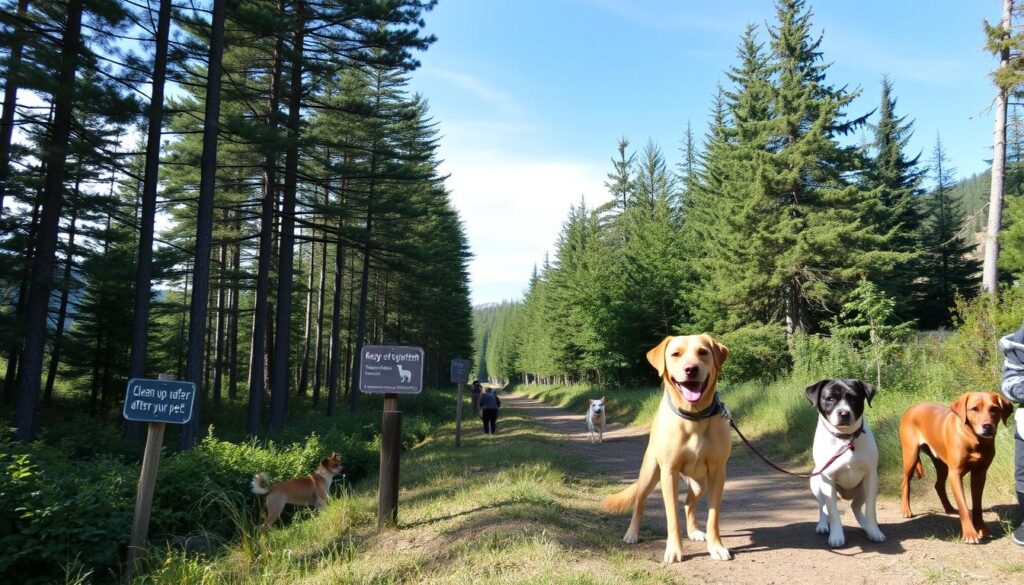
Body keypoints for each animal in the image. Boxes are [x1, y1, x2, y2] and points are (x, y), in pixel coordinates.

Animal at [602, 336, 733, 565]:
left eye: (702, 352)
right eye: (675, 354)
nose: (691, 369)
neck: (694, 418)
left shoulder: (718, 472)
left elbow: (713, 516)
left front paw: (716, 547)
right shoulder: (669, 473)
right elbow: (672, 516)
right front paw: (673, 550)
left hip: (700, 483)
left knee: (689, 503)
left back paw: (694, 531)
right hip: (649, 475)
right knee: (640, 503)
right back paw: (632, 534)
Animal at [802, 379, 884, 549]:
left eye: (853, 398)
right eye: (830, 398)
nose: (844, 413)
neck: (845, 439)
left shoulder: (870, 477)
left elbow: (871, 509)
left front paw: (874, 531)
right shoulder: (827, 480)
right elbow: (832, 511)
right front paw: (836, 536)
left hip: (861, 489)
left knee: (855, 506)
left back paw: (866, 526)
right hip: (816, 484)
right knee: (822, 506)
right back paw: (822, 525)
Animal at [901, 393, 1011, 545]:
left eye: (994, 408)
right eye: (974, 409)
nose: (987, 426)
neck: (973, 439)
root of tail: (911, 408)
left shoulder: (980, 473)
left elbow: (977, 505)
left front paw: (981, 528)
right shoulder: (955, 474)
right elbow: (964, 507)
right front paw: (970, 533)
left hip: (941, 463)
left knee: (938, 485)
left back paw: (949, 508)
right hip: (910, 456)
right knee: (905, 482)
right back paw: (906, 510)